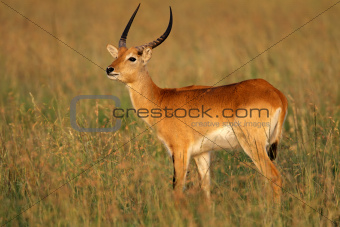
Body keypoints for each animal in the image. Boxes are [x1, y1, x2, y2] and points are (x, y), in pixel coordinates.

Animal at [106, 4, 286, 201]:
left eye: (132, 58)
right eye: (118, 55)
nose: (109, 69)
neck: (160, 98)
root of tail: (276, 93)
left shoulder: (180, 151)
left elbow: (178, 189)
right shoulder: (202, 153)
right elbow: (205, 189)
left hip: (253, 144)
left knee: (274, 177)